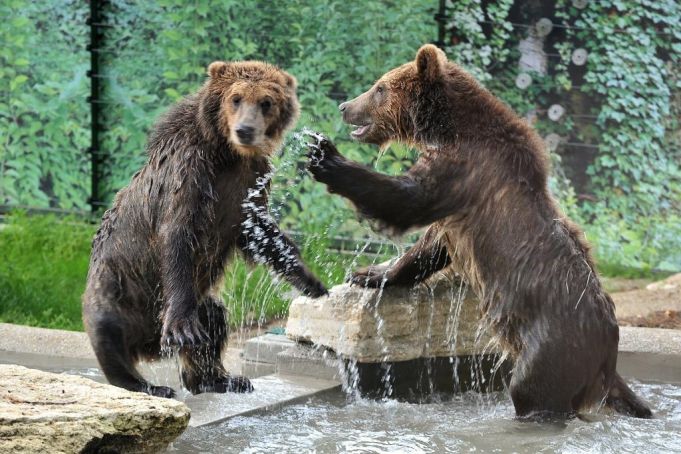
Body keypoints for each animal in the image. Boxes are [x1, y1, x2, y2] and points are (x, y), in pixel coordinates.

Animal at [83, 60, 328, 398]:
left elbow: (261, 235)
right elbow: (177, 238)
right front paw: (181, 328)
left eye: (266, 101)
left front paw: (310, 281)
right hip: (116, 292)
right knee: (111, 341)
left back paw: (222, 379)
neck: (227, 154)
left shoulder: (249, 184)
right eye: (236, 98)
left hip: (192, 304)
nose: (245, 130)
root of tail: (149, 347)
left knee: (213, 318)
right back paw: (151, 385)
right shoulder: (190, 175)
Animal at [306, 44, 648, 420]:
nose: (345, 106)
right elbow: (429, 246)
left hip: (553, 345)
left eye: (379, 87)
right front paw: (369, 273)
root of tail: (608, 347)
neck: (446, 128)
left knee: (531, 389)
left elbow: (408, 199)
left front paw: (325, 157)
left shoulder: (465, 169)